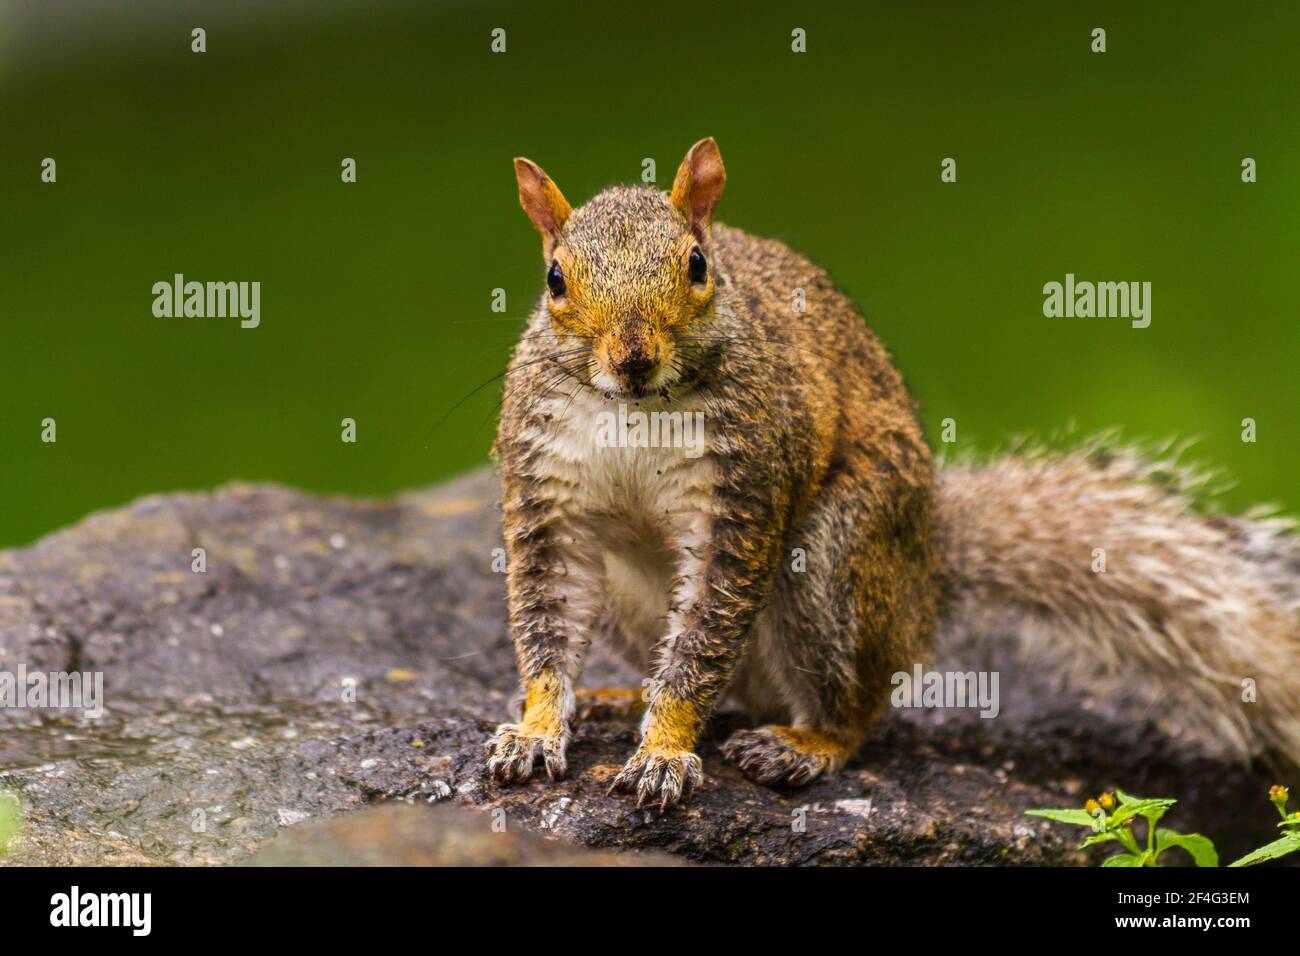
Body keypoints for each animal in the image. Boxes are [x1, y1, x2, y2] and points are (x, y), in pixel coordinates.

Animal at [488, 136, 1300, 806]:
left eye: (697, 266)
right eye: (554, 280)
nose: (633, 359)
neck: (634, 409)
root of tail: (926, 577)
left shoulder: (742, 495)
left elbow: (702, 642)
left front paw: (662, 754)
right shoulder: (547, 496)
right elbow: (546, 620)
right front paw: (535, 730)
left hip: (835, 561)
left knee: (858, 706)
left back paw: (805, 744)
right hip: (636, 599)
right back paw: (625, 695)